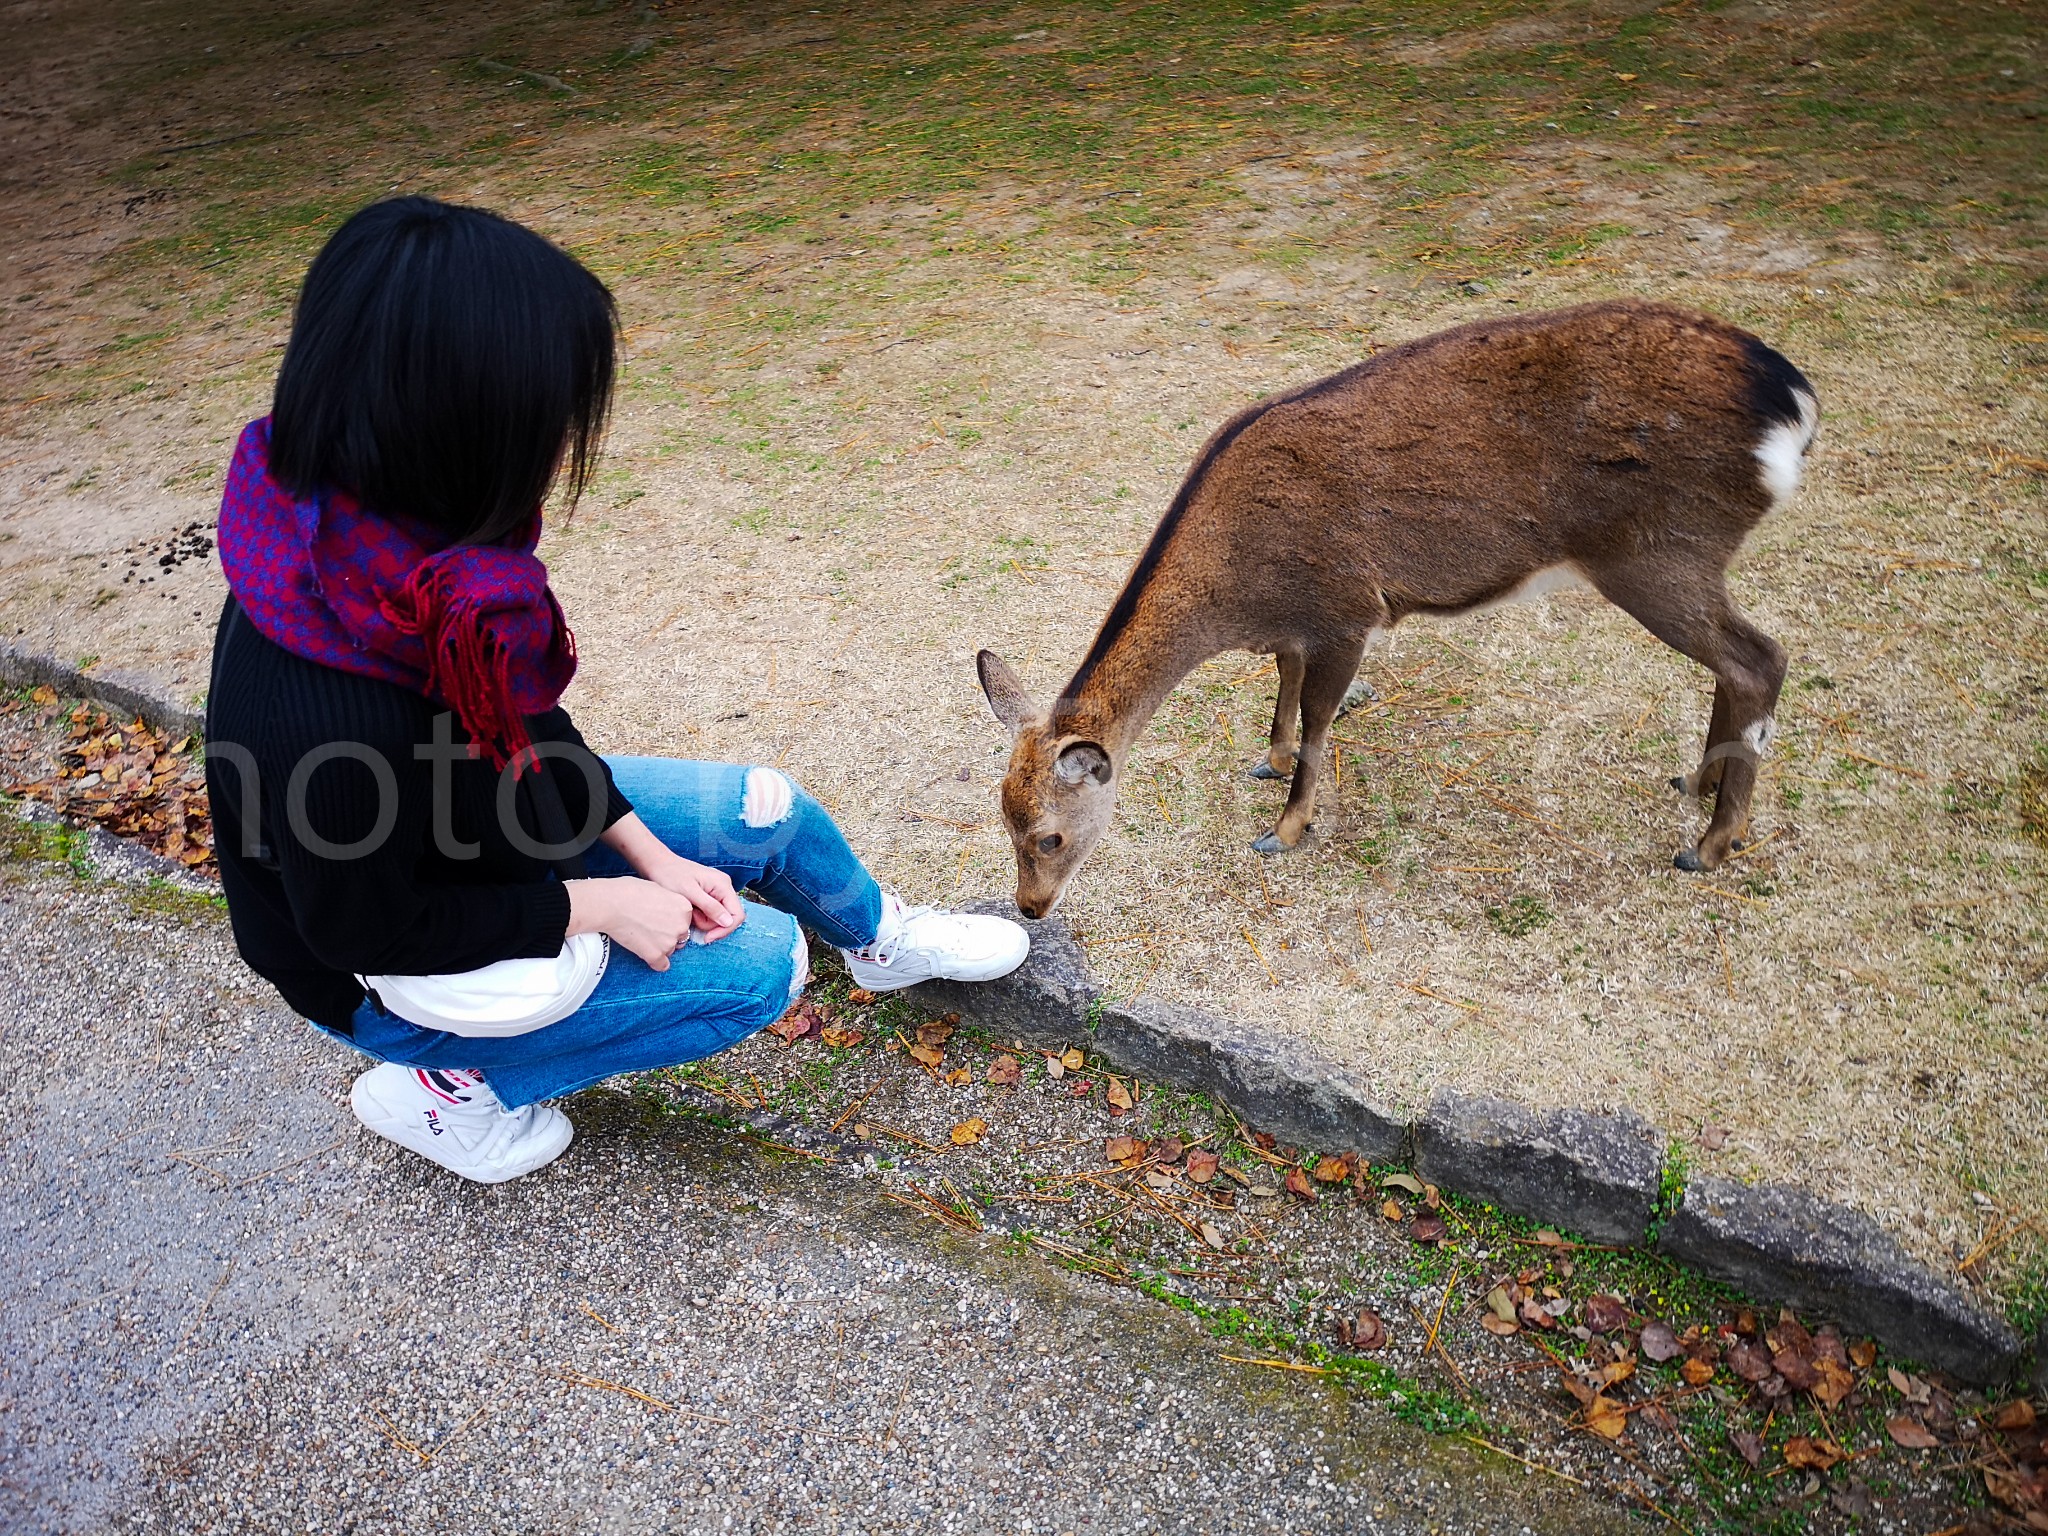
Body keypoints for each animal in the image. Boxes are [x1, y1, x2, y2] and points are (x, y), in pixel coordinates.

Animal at [983, 307, 1818, 921]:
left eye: (1050, 837)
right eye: (1003, 820)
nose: (1028, 908)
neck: (1234, 595)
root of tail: (1794, 401)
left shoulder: (1347, 610)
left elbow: (1320, 719)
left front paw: (1285, 829)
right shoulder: (1299, 625)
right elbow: (1285, 688)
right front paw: (1269, 758)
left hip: (1657, 555)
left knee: (1759, 657)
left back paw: (1710, 844)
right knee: (1741, 663)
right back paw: (1698, 785)